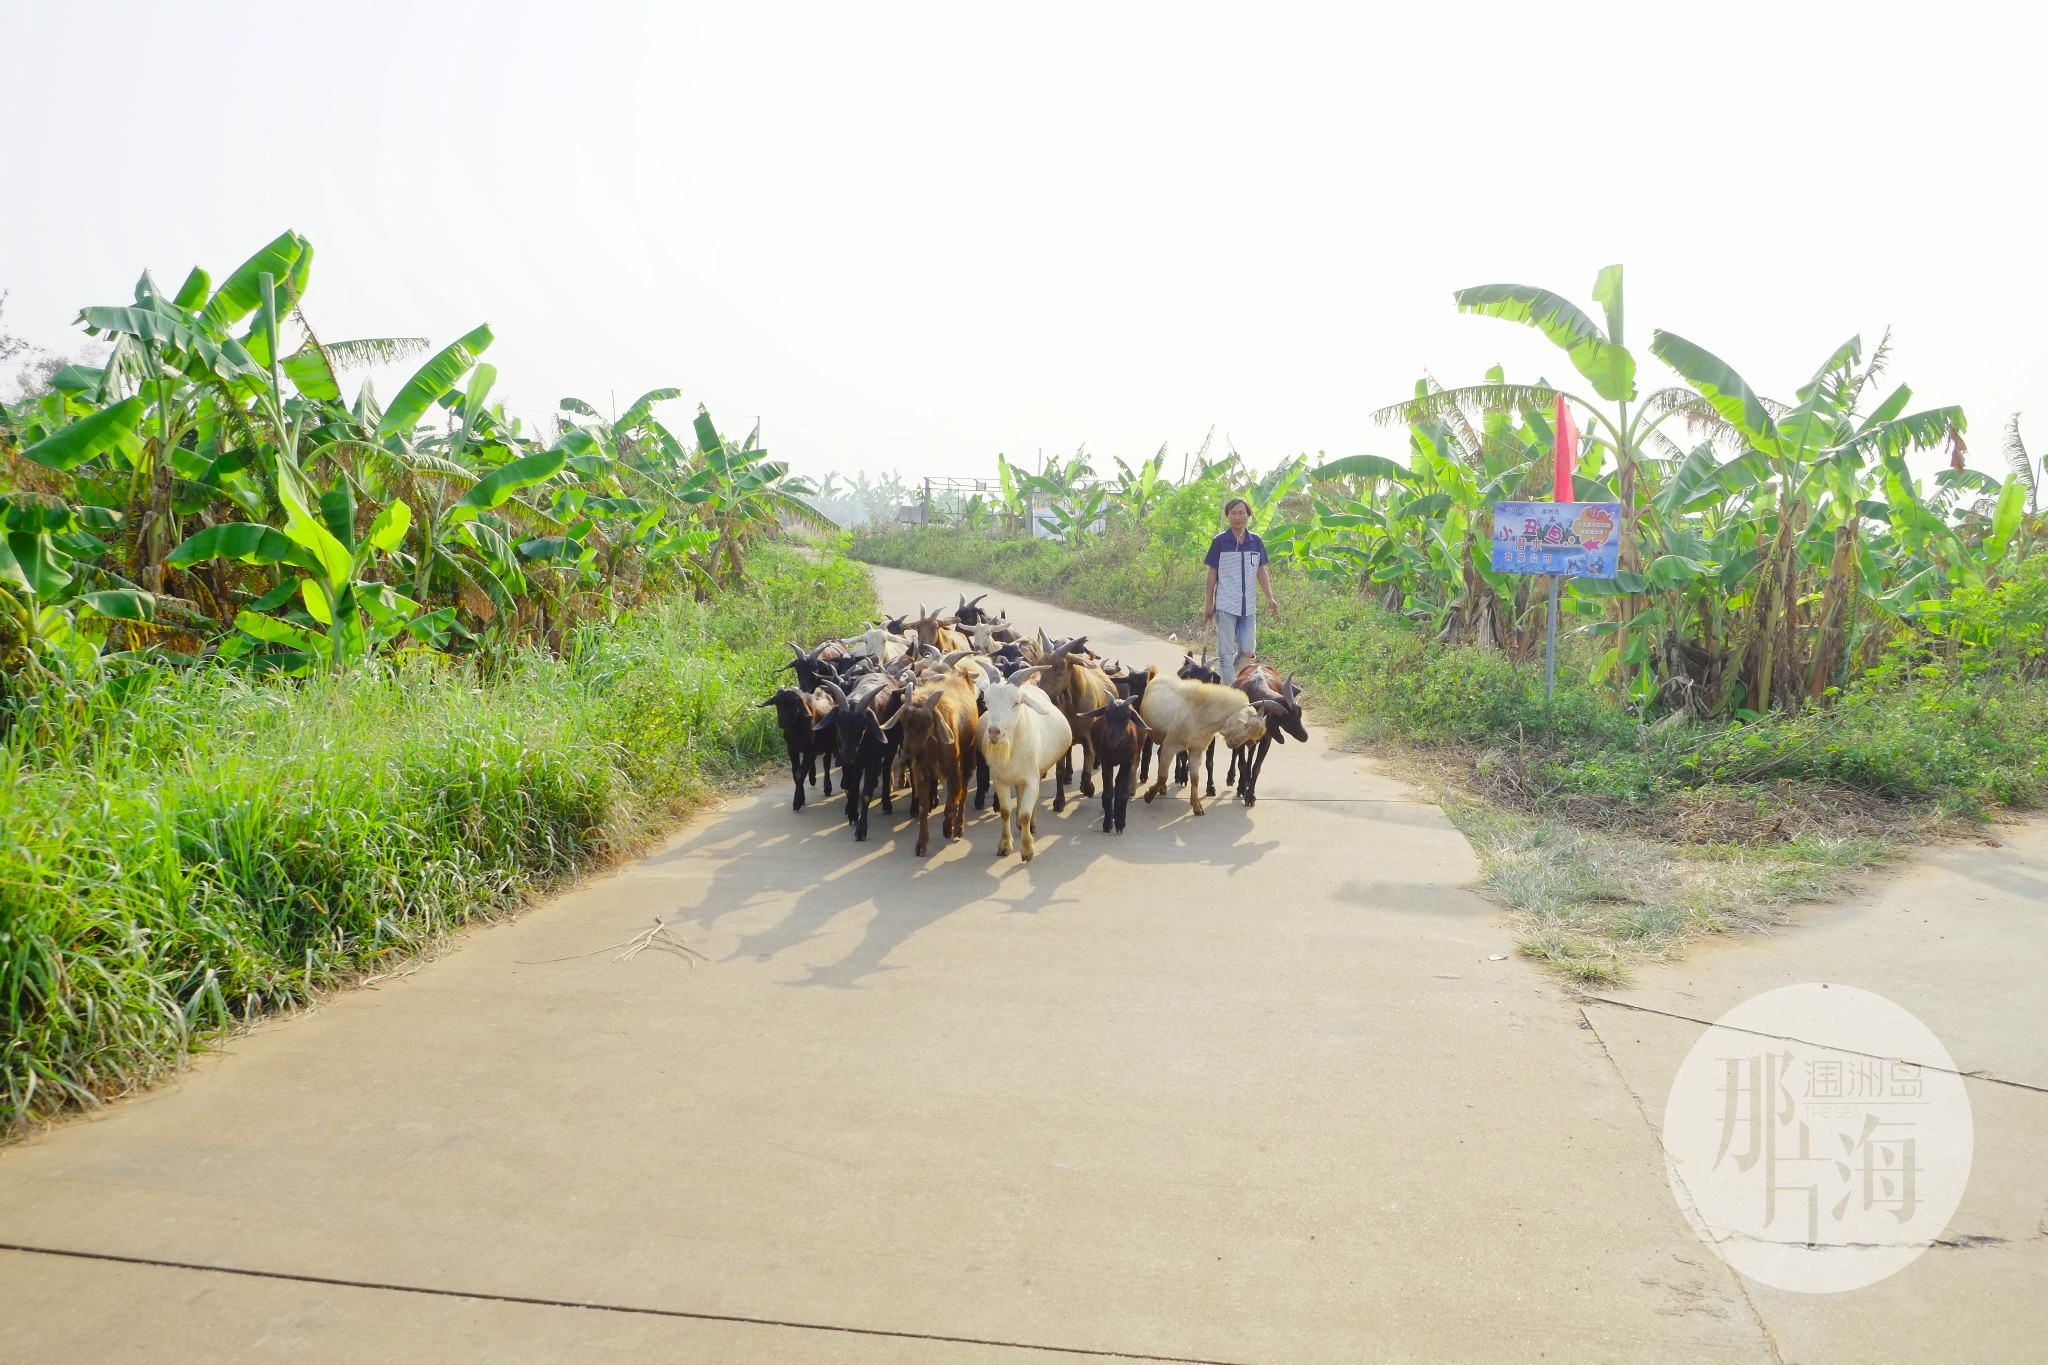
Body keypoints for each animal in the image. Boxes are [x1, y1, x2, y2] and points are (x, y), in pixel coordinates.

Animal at [974, 671, 1073, 859]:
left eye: (1015, 703)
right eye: (986, 701)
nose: (994, 731)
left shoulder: (1031, 779)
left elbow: (1026, 814)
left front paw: (1027, 850)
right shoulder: (1000, 780)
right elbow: (1005, 812)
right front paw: (1005, 846)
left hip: (1038, 770)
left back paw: (1031, 824)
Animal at [1138, 667, 1261, 818]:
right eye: (1246, 726)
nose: (1233, 745)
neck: (1202, 713)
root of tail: (1154, 676)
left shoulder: (1196, 750)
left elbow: (1195, 778)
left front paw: (1197, 806)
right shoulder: (1171, 744)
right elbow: (1163, 776)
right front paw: (1148, 795)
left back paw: (1162, 789)